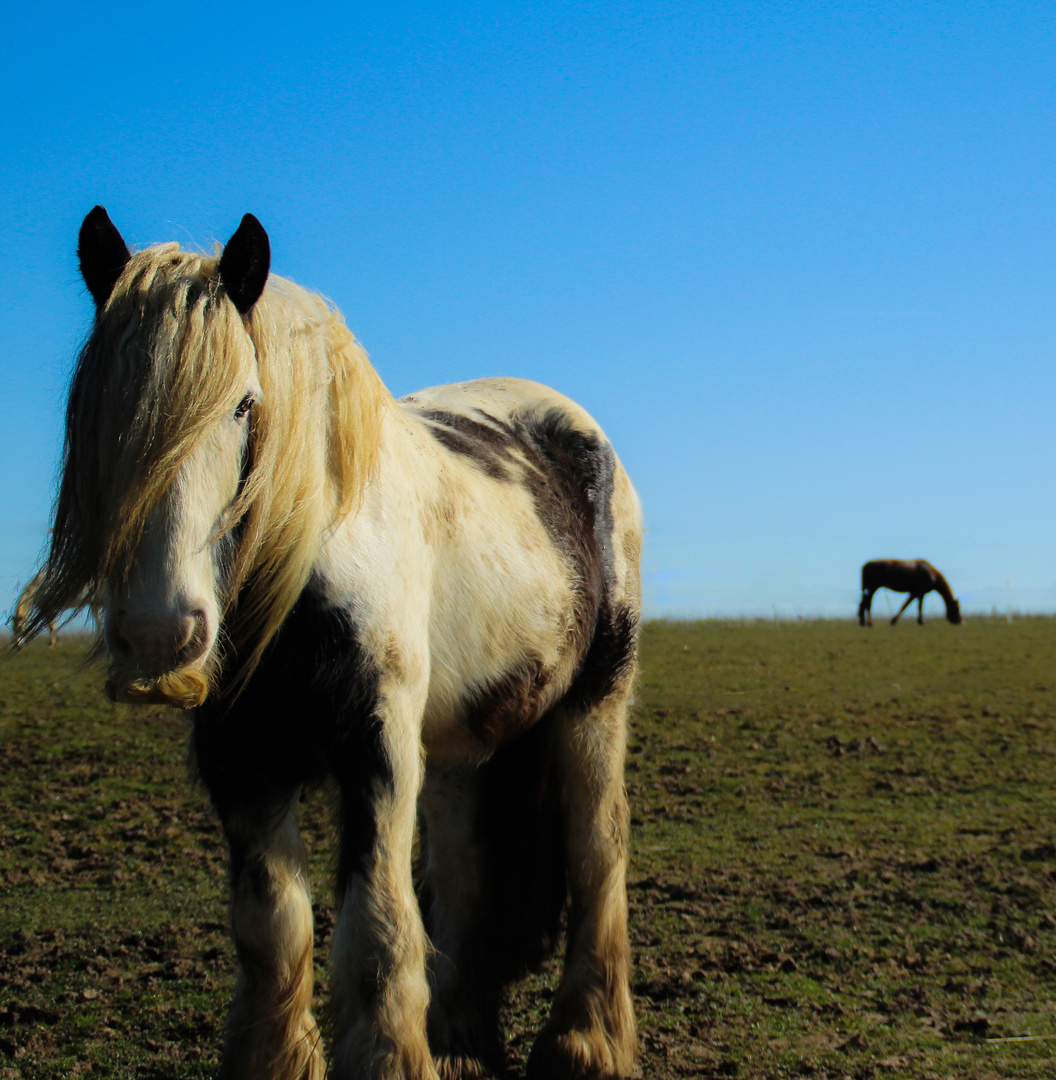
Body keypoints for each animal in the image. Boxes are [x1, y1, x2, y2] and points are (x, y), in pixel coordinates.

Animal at [26, 208, 643, 1080]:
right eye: (98, 411)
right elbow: (271, 929)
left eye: (245, 405)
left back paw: (584, 1045)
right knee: (464, 883)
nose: (159, 636)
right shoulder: (240, 765)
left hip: (594, 705)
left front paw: (389, 1057)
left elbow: (376, 928)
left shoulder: (375, 751)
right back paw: (458, 1047)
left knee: (597, 854)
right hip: (460, 746)